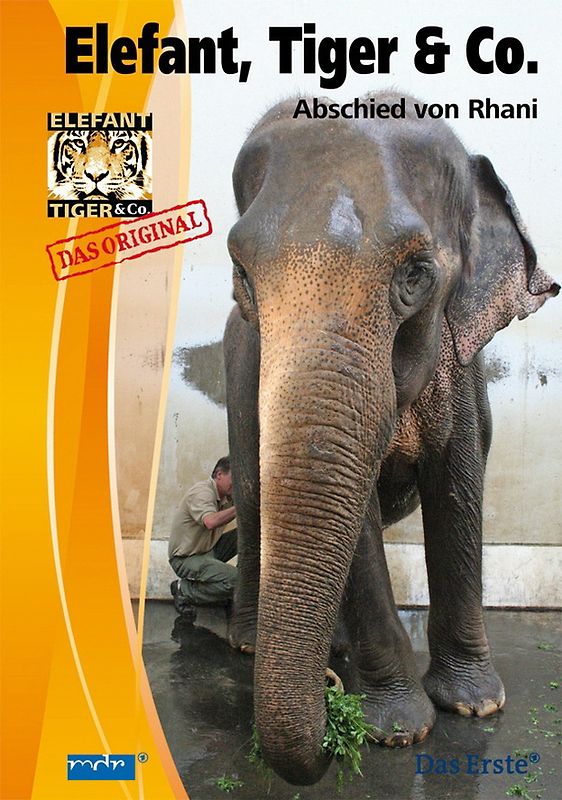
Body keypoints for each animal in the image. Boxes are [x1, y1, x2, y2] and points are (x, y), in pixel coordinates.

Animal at [222, 91, 559, 786]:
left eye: (416, 275)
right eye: (242, 274)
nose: (328, 707)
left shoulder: (460, 367)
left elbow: (458, 486)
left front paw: (475, 705)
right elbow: (361, 520)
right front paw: (399, 730)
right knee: (249, 497)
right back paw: (253, 642)